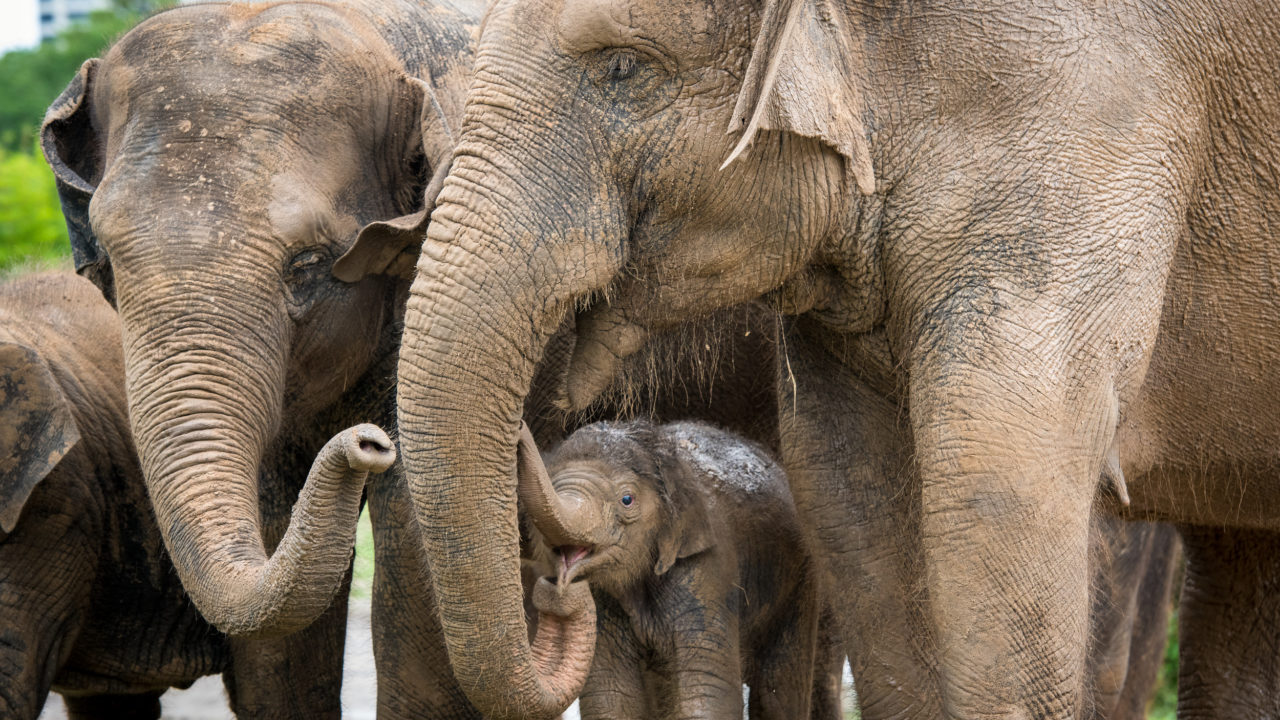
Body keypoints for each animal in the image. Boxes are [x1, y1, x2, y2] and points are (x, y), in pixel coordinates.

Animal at [519, 417, 829, 717]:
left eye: (627, 500)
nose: (520, 428)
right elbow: (613, 696)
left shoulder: (707, 571)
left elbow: (707, 692)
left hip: (801, 577)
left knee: (778, 691)